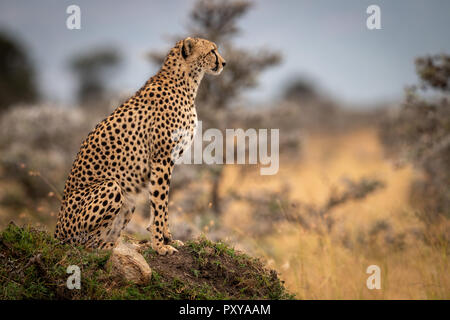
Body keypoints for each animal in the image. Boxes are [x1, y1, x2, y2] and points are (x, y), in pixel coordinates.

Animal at [55, 37, 227, 255]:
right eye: (212, 51)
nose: (224, 63)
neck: (187, 81)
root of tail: (55, 233)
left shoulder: (165, 161)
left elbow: (160, 203)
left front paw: (167, 238)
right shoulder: (162, 159)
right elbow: (160, 201)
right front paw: (160, 245)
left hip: (129, 200)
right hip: (112, 187)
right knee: (86, 245)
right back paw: (116, 245)